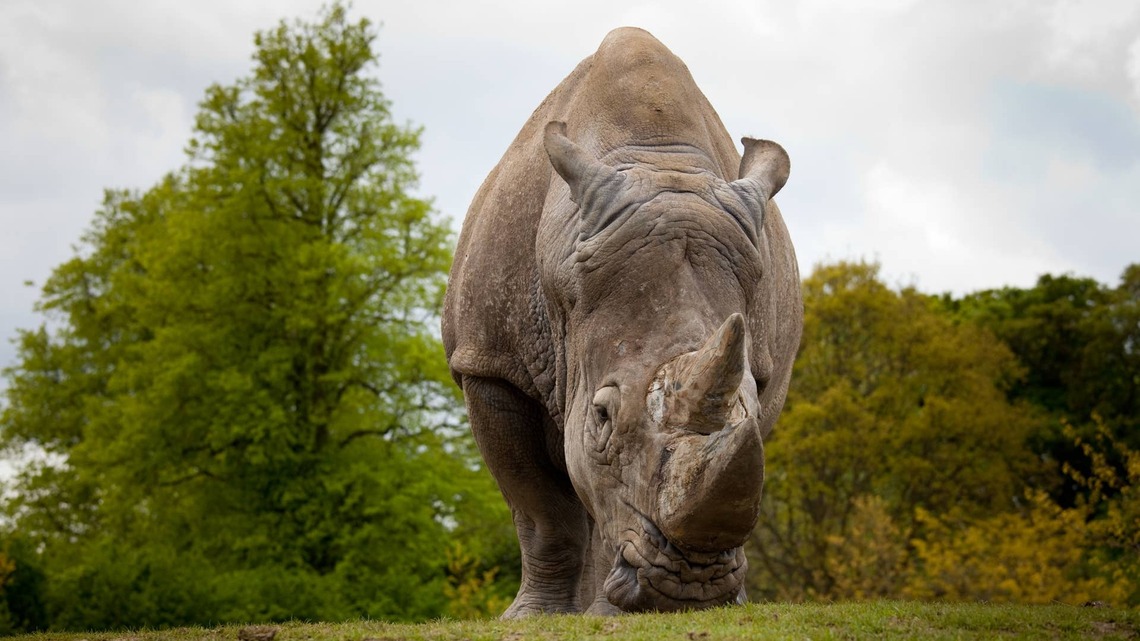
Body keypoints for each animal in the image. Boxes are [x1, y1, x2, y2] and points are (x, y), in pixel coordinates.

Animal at [441, 27, 802, 616]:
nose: (689, 587)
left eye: (750, 401)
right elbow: (539, 508)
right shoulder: (489, 361)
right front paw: (535, 617)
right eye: (602, 417)